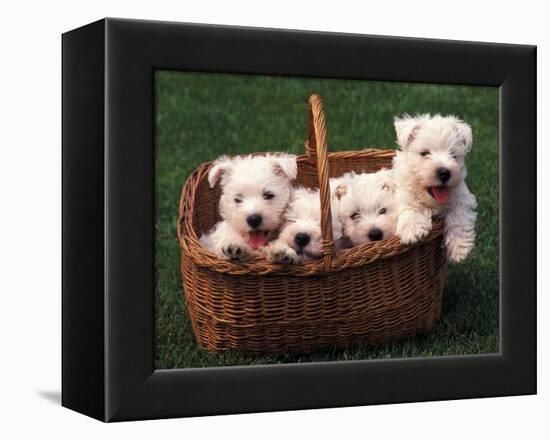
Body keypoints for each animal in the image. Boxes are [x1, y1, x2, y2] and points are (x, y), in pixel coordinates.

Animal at [392, 115, 478, 262]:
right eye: (424, 153)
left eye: (453, 155)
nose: (444, 173)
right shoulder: (404, 192)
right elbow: (411, 206)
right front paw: (413, 230)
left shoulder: (461, 196)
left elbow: (458, 216)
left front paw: (459, 249)